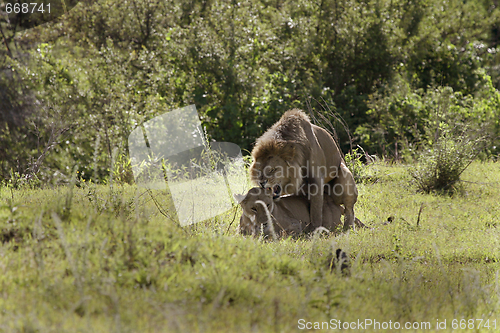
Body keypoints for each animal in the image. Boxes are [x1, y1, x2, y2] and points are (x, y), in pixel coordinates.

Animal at [234, 187, 364, 236]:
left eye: (268, 205)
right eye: (253, 208)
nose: (264, 223)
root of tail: (334, 202)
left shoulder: (296, 224)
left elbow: (283, 234)